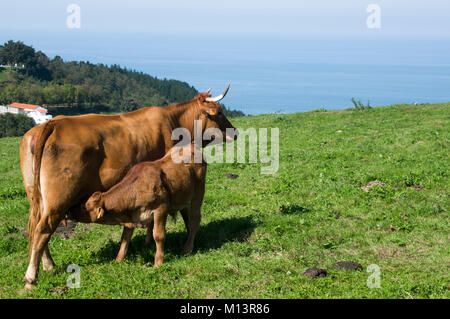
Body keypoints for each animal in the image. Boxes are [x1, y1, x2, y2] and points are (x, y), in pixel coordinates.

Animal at [70, 143, 206, 268]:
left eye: (83, 207)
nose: (70, 210)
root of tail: (191, 146)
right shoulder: (131, 216)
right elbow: (125, 238)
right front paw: (118, 260)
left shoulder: (160, 209)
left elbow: (158, 235)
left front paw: (158, 262)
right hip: (183, 196)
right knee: (187, 215)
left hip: (198, 193)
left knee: (195, 219)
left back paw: (188, 248)